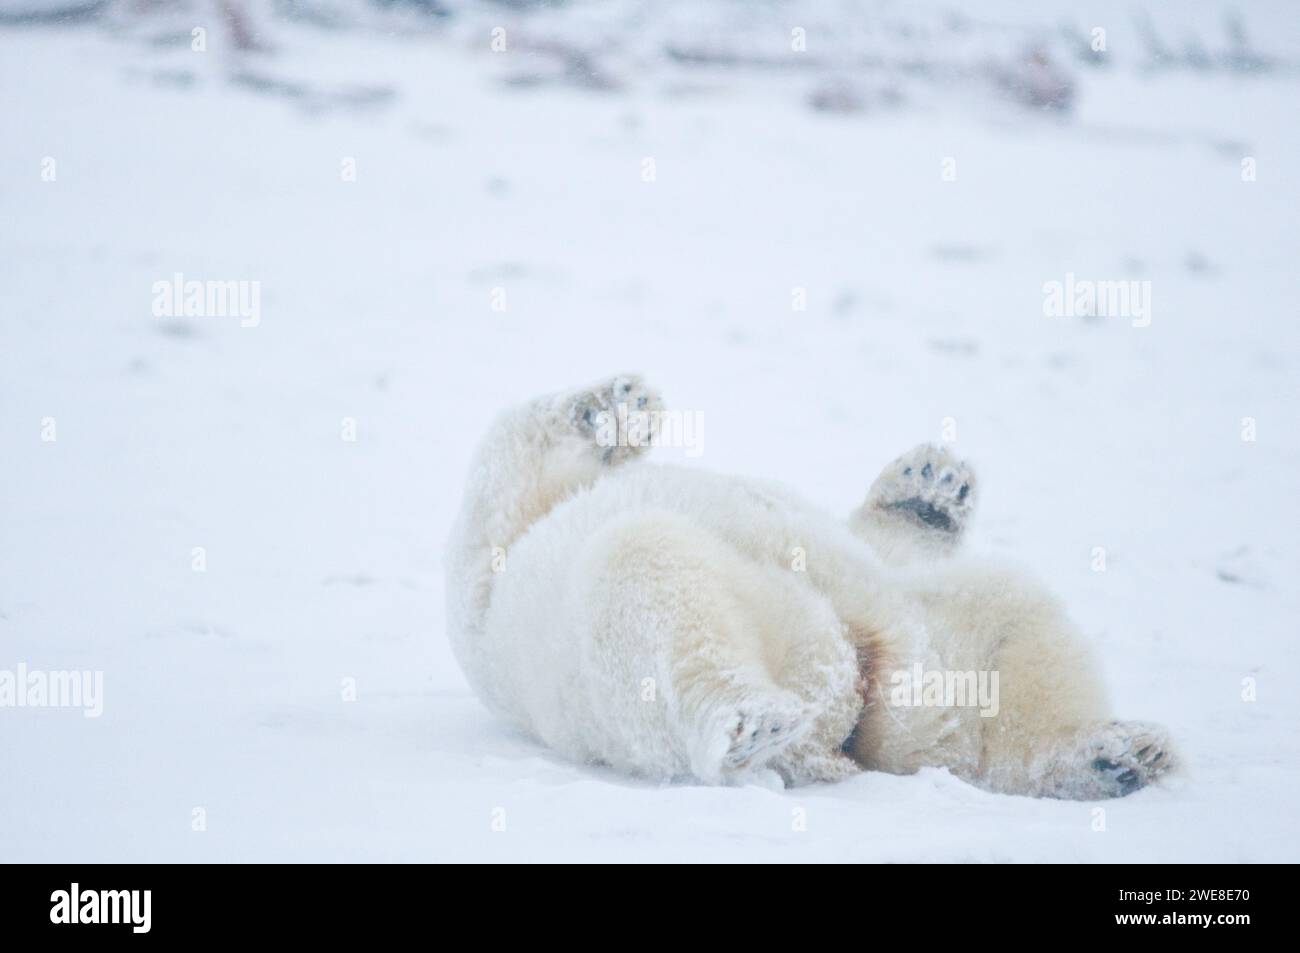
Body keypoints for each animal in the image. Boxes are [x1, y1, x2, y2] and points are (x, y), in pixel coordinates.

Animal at [441, 371, 1175, 795]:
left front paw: (931, 485)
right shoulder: (490, 579)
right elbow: (503, 482)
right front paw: (613, 406)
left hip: (933, 641)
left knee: (1014, 631)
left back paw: (1112, 753)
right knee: (649, 572)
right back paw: (751, 721)